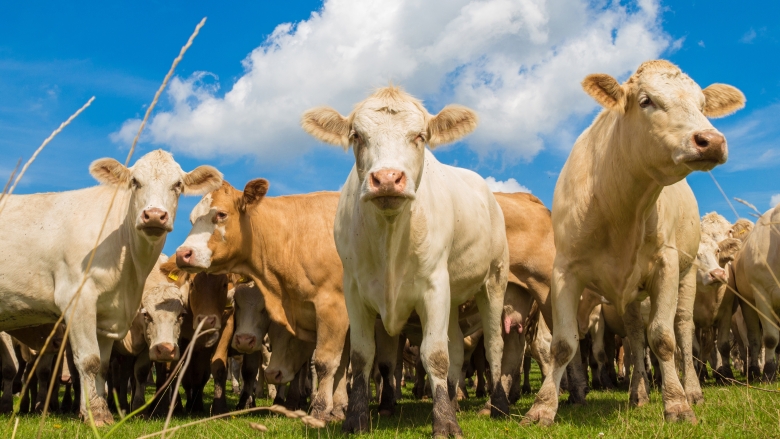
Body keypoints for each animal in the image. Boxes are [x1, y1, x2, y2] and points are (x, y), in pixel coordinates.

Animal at [0, 149, 222, 425]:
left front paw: (94, 410)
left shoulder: (106, 315)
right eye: (135, 182)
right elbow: (89, 360)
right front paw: (97, 416)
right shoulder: (77, 299)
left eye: (177, 185)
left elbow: (102, 367)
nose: (155, 215)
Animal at [175, 186, 350, 422]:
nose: (182, 254)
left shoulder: (335, 310)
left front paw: (320, 410)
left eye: (221, 214)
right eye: (192, 219)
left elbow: (327, 364)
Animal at [301, 86, 509, 437]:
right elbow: (363, 356)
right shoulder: (354, 291)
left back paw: (500, 406)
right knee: (456, 349)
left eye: (420, 136)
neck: (389, 242)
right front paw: (357, 418)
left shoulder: (434, 287)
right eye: (357, 135)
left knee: (494, 344)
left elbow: (434, 355)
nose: (387, 178)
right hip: (453, 296)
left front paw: (445, 423)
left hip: (494, 281)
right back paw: (452, 400)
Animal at [522, 60, 745, 426]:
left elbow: (664, 338)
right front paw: (541, 408)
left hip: (685, 277)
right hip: (628, 296)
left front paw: (677, 404)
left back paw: (692, 390)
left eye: (702, 105)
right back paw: (637, 393)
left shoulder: (667, 265)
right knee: (636, 334)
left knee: (682, 330)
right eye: (645, 101)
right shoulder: (564, 271)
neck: (619, 205)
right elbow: (563, 344)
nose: (711, 140)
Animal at [733, 205, 780, 381]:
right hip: (747, 304)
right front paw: (768, 371)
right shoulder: (761, 295)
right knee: (754, 340)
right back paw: (753, 370)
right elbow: (770, 338)